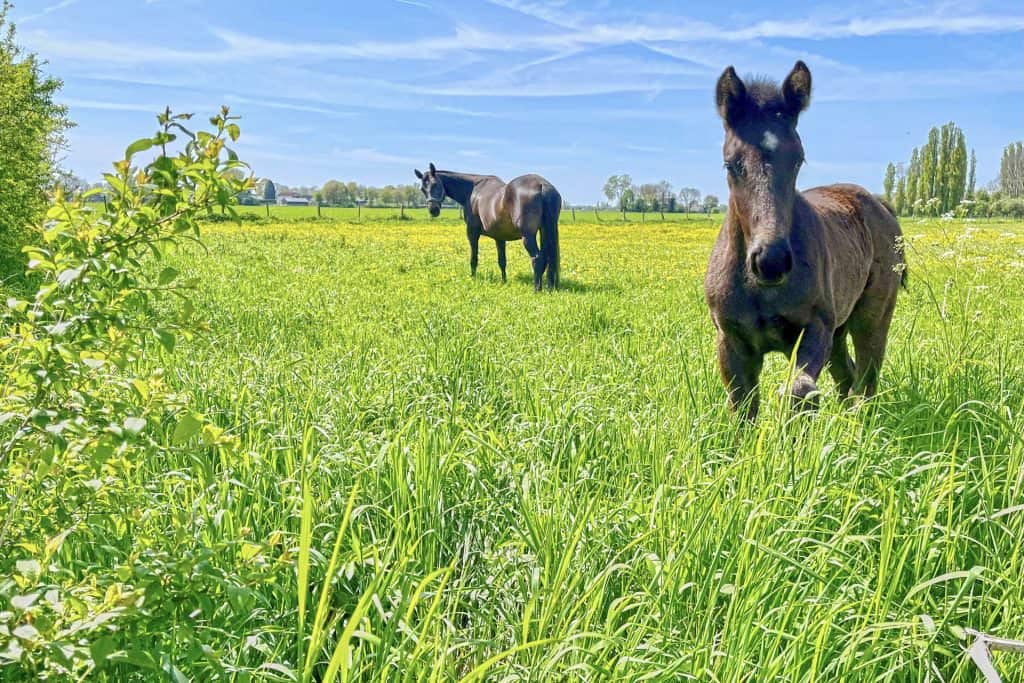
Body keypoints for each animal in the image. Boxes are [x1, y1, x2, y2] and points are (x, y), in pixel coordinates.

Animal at [414, 163, 562, 291]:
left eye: (435, 184)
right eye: (422, 189)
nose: (433, 210)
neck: (472, 190)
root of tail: (541, 185)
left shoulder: (472, 232)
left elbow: (474, 258)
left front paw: (473, 278)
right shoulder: (500, 237)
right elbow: (502, 261)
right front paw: (504, 281)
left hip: (528, 236)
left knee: (537, 259)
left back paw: (536, 289)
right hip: (545, 231)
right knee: (547, 258)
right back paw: (549, 286)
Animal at [704, 61, 906, 420]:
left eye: (797, 159)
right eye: (731, 164)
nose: (771, 262)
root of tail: (879, 203)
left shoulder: (814, 330)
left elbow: (800, 391)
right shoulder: (731, 343)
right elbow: (743, 409)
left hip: (871, 318)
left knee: (865, 379)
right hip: (840, 329)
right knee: (846, 375)